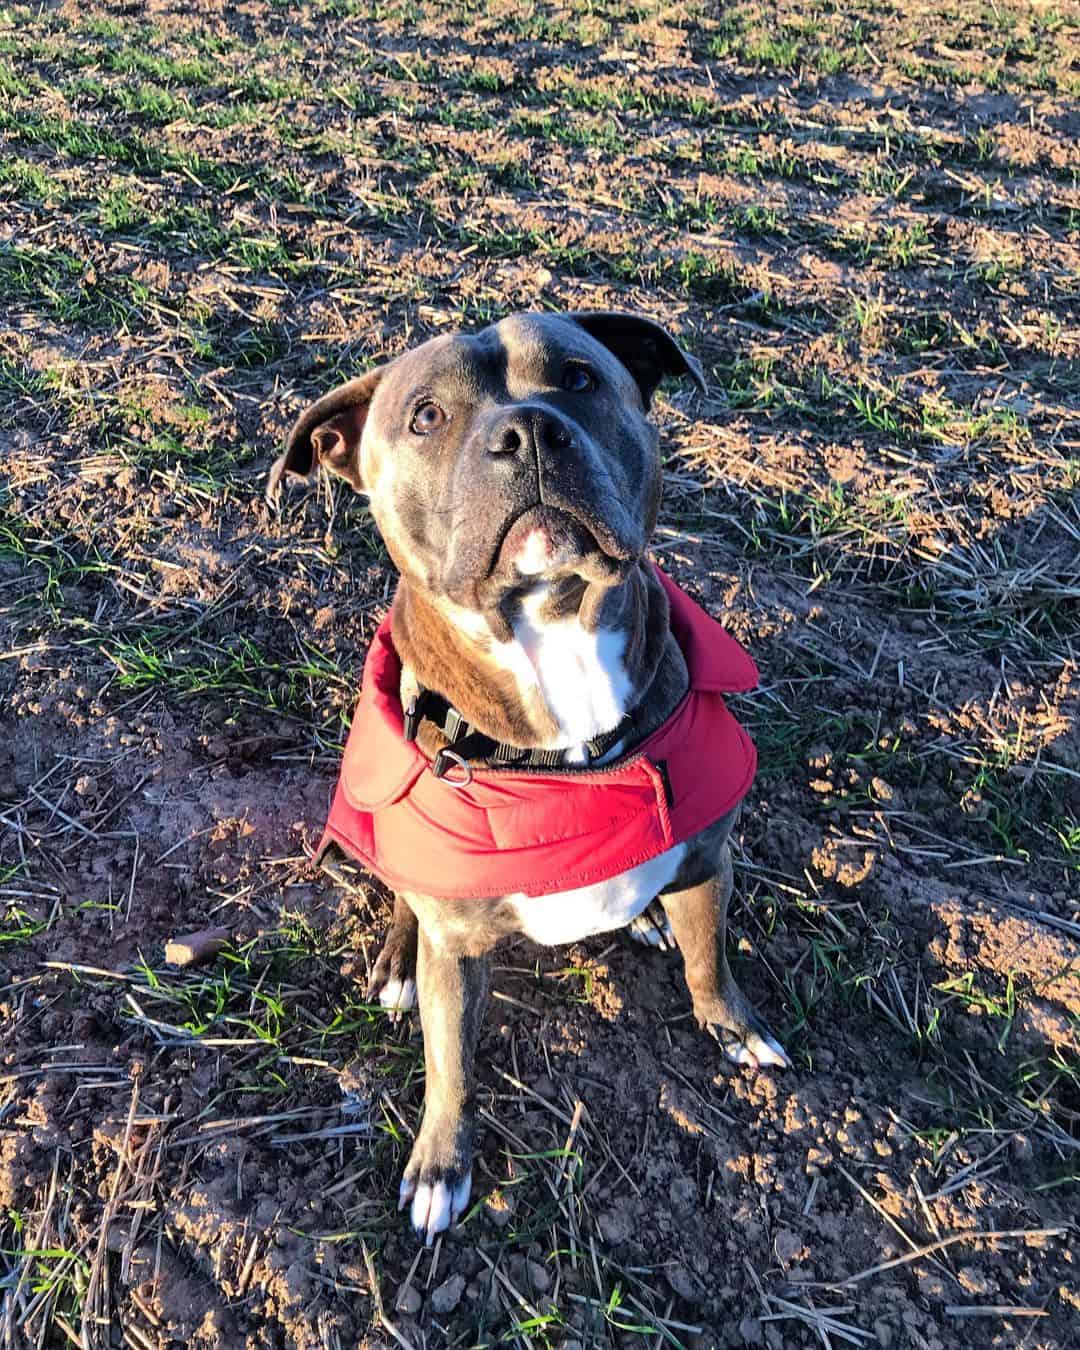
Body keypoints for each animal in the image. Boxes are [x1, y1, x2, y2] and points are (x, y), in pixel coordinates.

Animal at [270, 310, 788, 1236]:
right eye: (426, 417)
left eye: (579, 378)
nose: (529, 432)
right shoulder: (456, 947)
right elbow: (453, 1066)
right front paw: (440, 1166)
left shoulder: (705, 859)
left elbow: (709, 958)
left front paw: (735, 1026)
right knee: (404, 903)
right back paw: (398, 964)